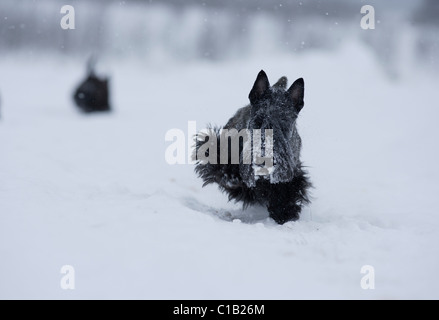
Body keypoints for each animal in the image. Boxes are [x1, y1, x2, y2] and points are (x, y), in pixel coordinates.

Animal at [194, 70, 312, 225]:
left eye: (284, 124)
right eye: (258, 120)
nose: (263, 157)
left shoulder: (292, 172)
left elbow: (287, 189)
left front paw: (285, 212)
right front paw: (231, 177)